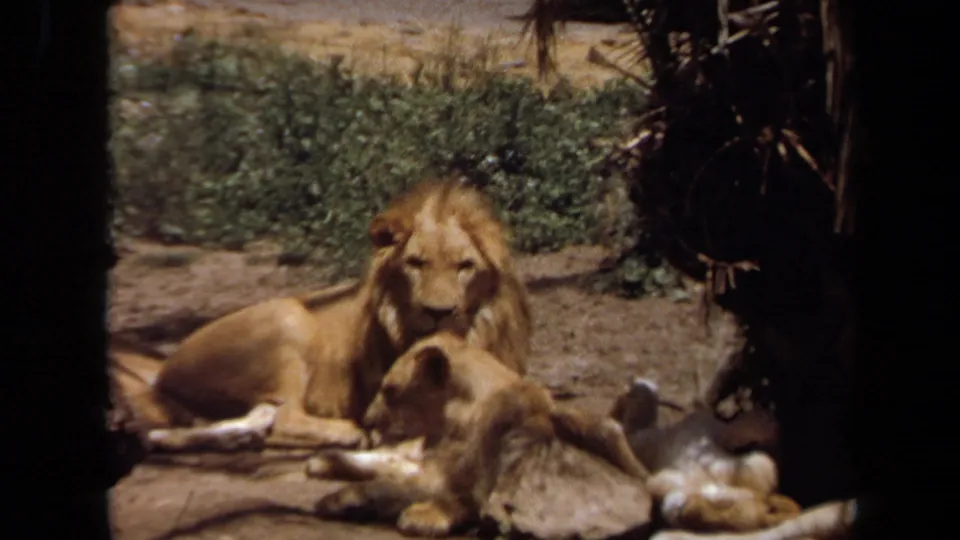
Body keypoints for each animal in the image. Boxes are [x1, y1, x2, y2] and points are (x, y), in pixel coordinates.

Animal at [110, 178, 533, 452]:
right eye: (415, 263)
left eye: (465, 266)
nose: (438, 312)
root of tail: (165, 367)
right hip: (289, 317)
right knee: (282, 418)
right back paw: (344, 432)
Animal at [310, 332, 654, 539]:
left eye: (390, 390)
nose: (368, 420)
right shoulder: (436, 466)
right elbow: (384, 472)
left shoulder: (444, 476)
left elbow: (386, 483)